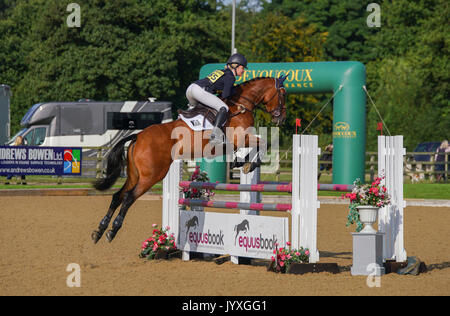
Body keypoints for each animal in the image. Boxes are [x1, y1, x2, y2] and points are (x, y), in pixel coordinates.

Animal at [92, 75, 288, 243]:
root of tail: (137, 136)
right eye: (283, 94)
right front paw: (249, 164)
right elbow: (263, 143)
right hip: (151, 176)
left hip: (134, 175)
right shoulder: (240, 137)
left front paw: (241, 162)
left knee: (118, 196)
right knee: (128, 198)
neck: (241, 103)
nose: (281, 119)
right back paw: (112, 230)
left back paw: (100, 230)